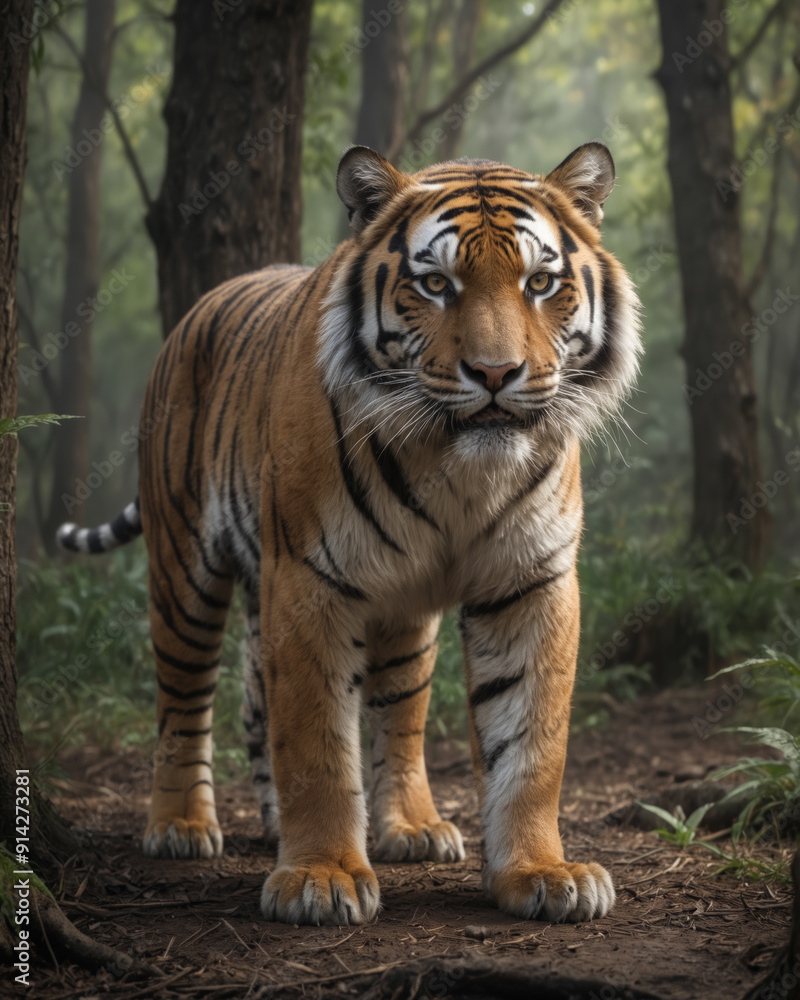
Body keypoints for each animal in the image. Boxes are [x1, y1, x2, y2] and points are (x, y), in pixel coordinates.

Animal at [58, 142, 642, 926]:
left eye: (541, 282)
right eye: (435, 283)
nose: (495, 373)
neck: (459, 472)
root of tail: (199, 308)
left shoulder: (531, 579)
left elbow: (532, 742)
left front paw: (542, 872)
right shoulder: (308, 577)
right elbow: (315, 741)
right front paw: (322, 877)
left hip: (399, 614)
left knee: (377, 713)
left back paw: (406, 828)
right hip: (184, 569)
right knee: (184, 698)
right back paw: (180, 825)